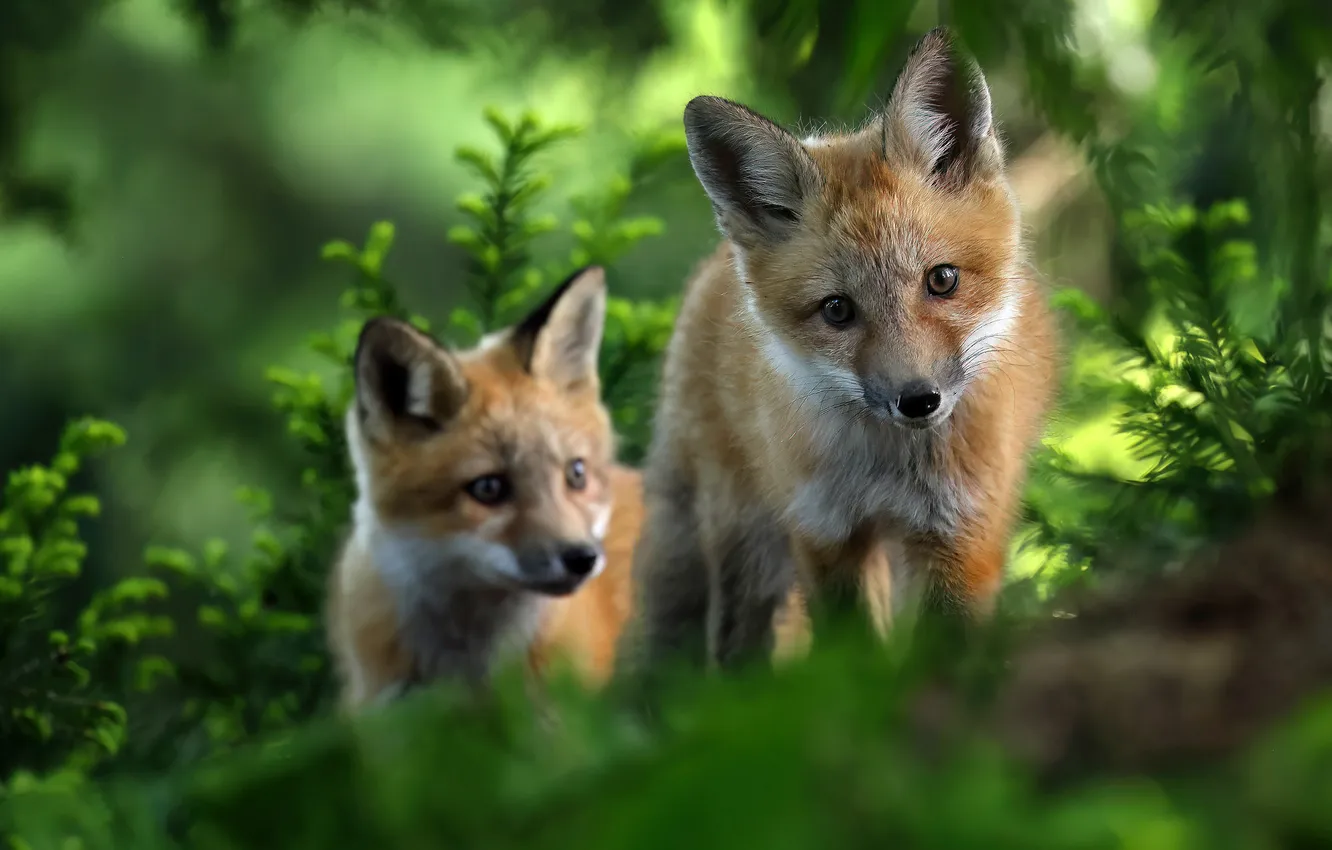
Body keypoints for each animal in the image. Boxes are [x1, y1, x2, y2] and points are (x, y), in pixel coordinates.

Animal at [620, 27, 1057, 676]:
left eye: (942, 280)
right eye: (836, 310)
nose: (918, 400)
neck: (888, 469)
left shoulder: (959, 534)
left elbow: (943, 650)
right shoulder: (827, 533)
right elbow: (853, 660)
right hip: (741, 537)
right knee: (726, 646)